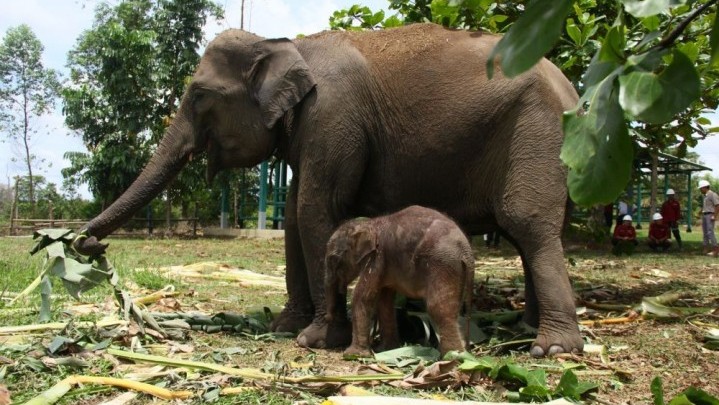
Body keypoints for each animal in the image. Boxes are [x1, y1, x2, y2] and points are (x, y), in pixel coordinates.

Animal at [324, 205, 472, 356]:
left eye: (333, 259)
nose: (327, 318)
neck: (370, 222)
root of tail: (466, 251)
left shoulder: (377, 258)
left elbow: (362, 297)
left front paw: (352, 354)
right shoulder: (385, 263)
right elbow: (384, 300)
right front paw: (386, 349)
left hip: (442, 264)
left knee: (438, 307)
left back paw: (452, 356)